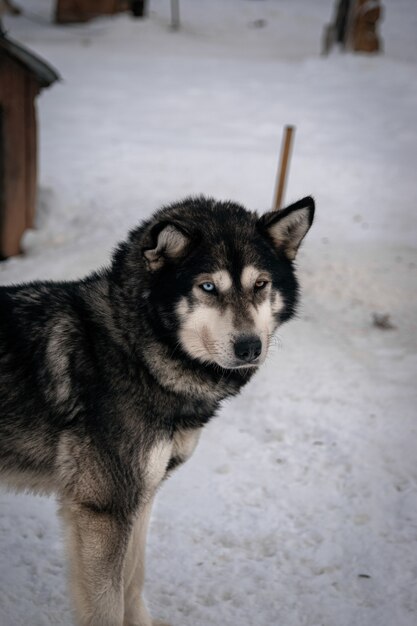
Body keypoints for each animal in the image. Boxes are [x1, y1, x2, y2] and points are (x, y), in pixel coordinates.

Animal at [0, 193, 312, 620]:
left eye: (260, 285)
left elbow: (133, 582)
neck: (134, 351)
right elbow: (108, 607)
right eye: (208, 287)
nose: (249, 347)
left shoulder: (143, 497)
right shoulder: (104, 510)